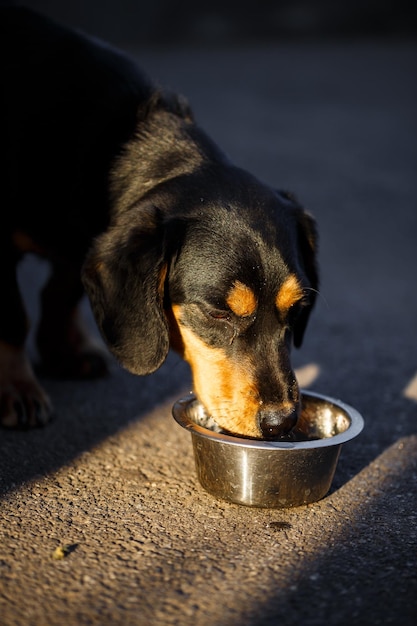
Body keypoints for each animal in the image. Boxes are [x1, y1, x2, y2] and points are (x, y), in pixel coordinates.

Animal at [0, 8, 318, 438]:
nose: (280, 422)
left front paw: (59, 350)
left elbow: (62, 291)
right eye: (217, 313)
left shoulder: (86, 244)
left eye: (297, 309)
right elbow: (15, 316)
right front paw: (18, 388)